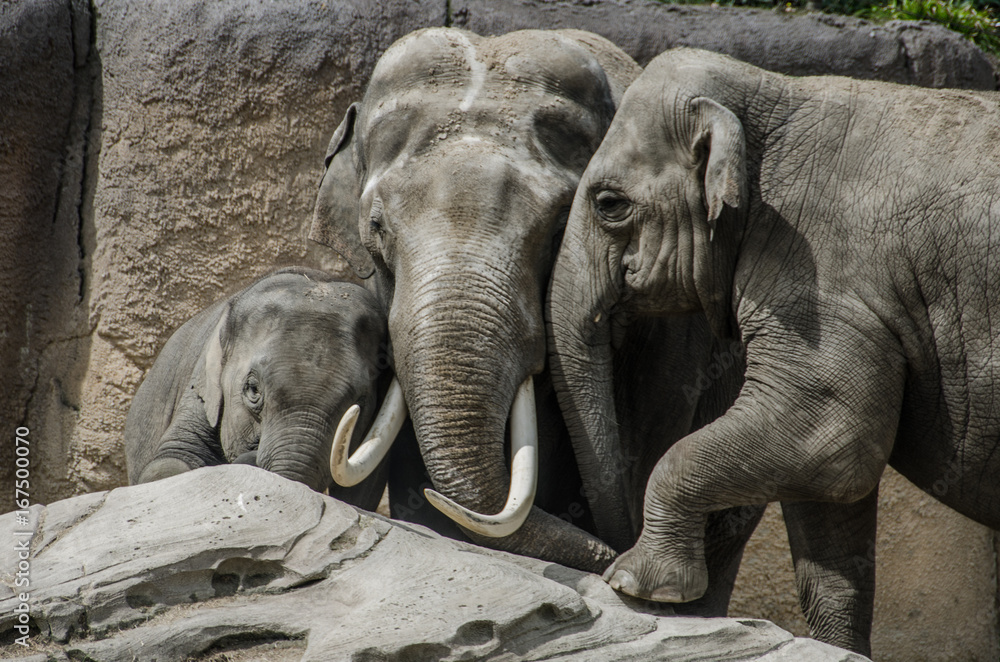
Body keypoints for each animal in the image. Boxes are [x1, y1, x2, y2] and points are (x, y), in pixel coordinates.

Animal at [547, 46, 1000, 655]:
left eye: (608, 203)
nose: (604, 561)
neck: (774, 91)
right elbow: (830, 488)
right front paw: (837, 651)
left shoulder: (825, 278)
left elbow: (830, 432)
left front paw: (639, 585)